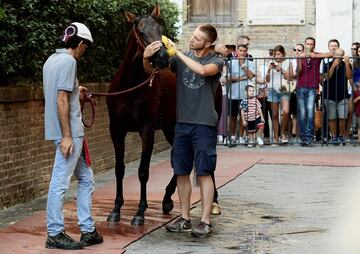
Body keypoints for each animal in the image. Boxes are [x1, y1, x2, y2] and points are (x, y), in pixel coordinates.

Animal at [105, 4, 221, 226]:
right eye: (141, 31)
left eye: (160, 29)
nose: (162, 58)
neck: (130, 87)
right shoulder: (116, 129)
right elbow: (119, 168)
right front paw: (115, 209)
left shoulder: (147, 130)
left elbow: (143, 171)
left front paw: (139, 213)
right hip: (170, 128)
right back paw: (167, 199)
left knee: (206, 164)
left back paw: (213, 202)